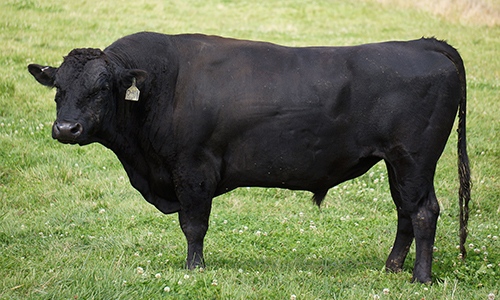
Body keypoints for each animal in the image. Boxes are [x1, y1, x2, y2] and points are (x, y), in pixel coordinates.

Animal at [29, 32, 470, 284]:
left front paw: (194, 269)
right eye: (59, 87)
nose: (66, 129)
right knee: (405, 212)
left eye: (102, 88)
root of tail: (421, 44)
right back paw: (392, 267)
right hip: (398, 164)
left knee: (424, 212)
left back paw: (420, 278)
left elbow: (194, 226)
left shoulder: (193, 170)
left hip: (413, 160)